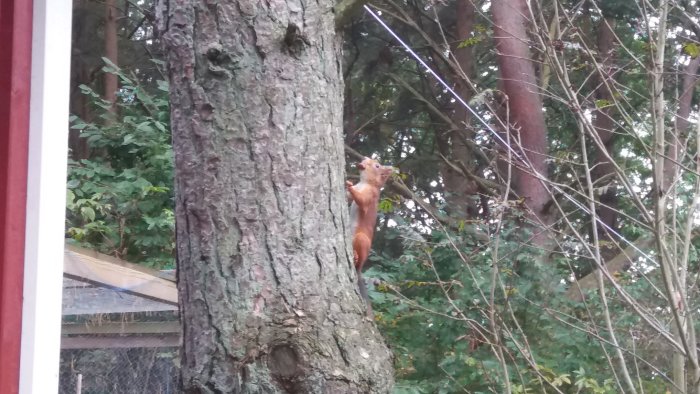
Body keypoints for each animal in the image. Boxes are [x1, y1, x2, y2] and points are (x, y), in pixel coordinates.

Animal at [344, 157, 394, 308]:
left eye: (377, 165)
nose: (364, 158)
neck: (364, 182)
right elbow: (348, 198)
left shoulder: (370, 195)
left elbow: (362, 201)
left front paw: (349, 184)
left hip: (361, 239)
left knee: (359, 262)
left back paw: (355, 258)